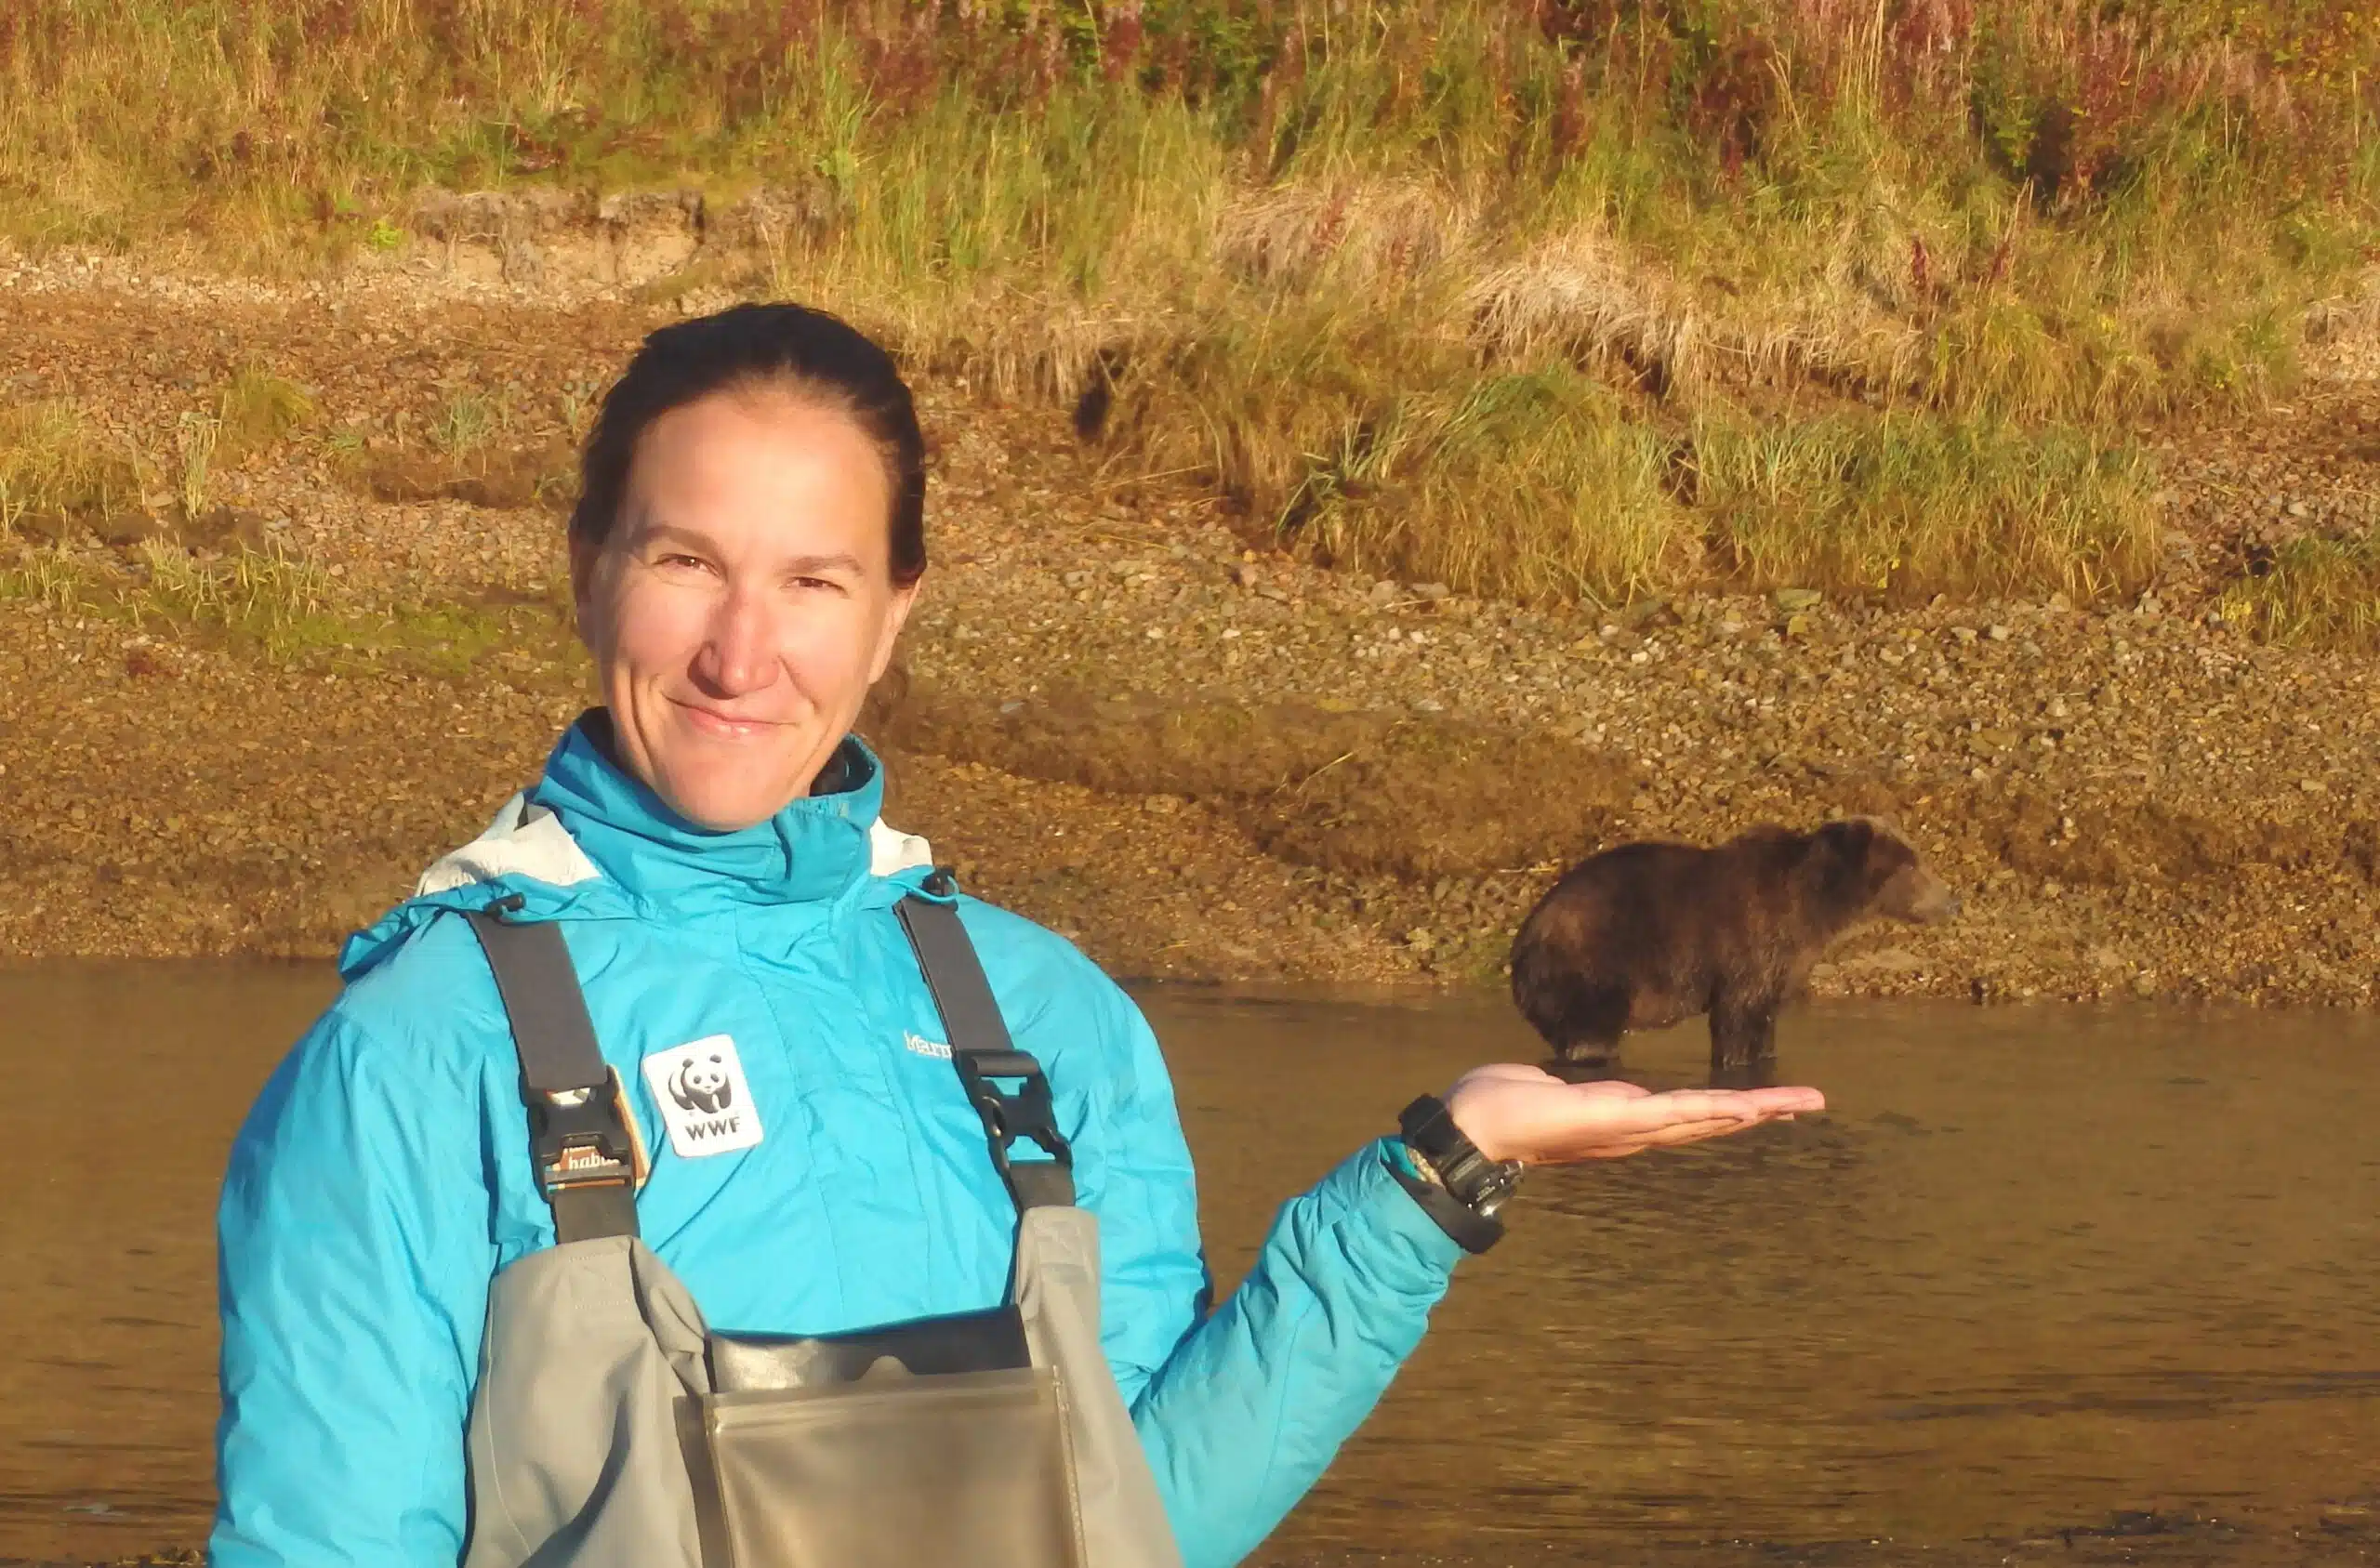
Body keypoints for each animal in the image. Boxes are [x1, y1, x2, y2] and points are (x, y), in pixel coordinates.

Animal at [1508, 816, 1959, 1085]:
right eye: (1911, 864)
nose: (1951, 900)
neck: (1812, 909)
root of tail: (1524, 937)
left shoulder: (1784, 963)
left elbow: (1764, 1022)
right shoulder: (1748, 943)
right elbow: (1737, 1019)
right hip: (1591, 967)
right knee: (1590, 1036)